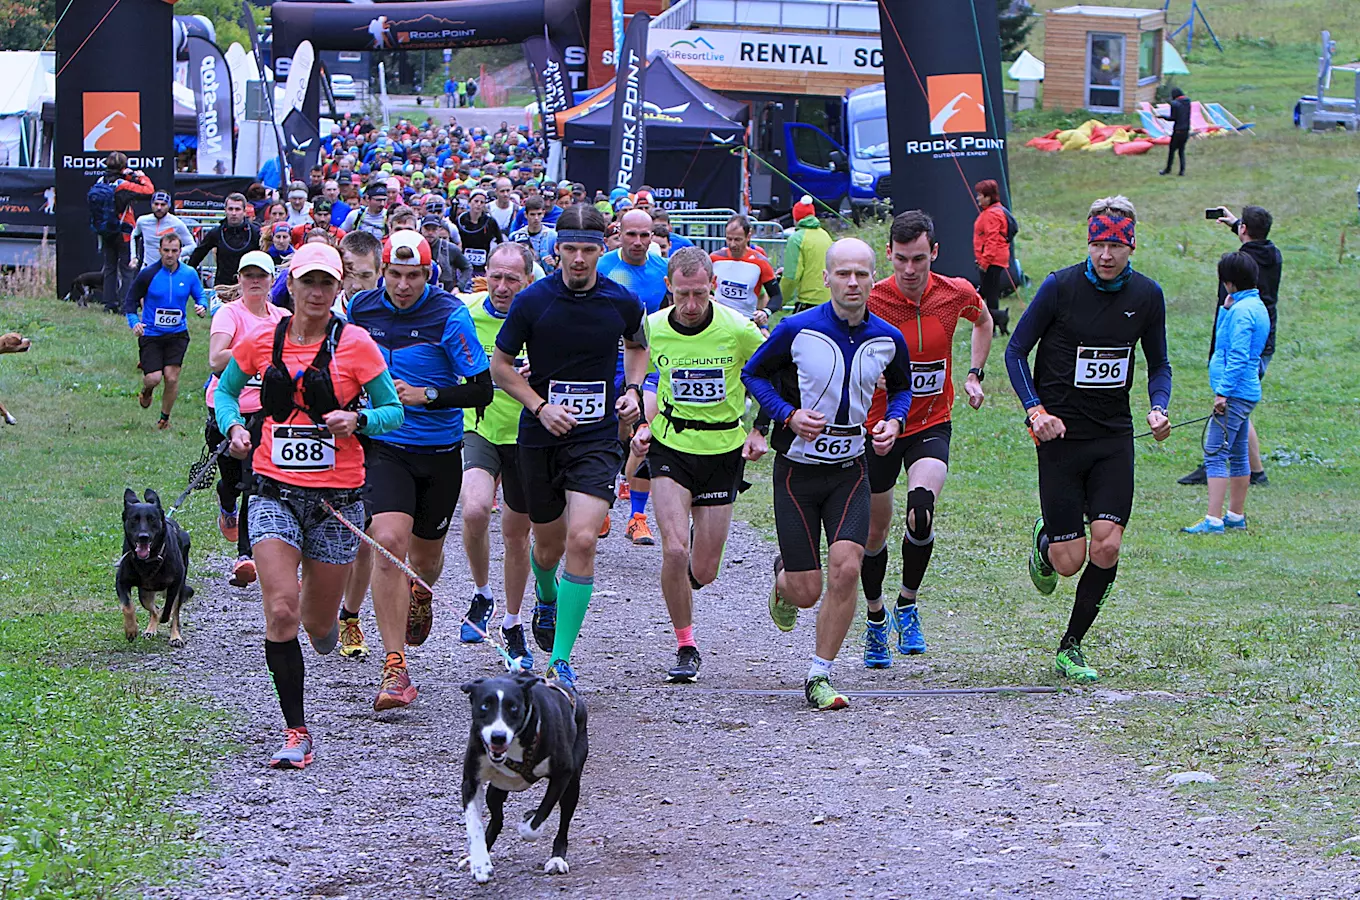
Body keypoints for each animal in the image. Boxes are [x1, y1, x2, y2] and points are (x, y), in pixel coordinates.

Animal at [117, 494, 194, 649]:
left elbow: (170, 608)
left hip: (180, 586)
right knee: (154, 609)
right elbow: (127, 606)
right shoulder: (121, 582)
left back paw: (175, 636)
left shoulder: (175, 584)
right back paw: (150, 629)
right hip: (144, 594)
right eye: (134, 519)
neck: (149, 560)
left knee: (173, 612)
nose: (143, 536)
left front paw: (168, 620)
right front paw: (131, 629)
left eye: (152, 519)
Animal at [459, 674, 587, 886]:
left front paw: (528, 823)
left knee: (563, 824)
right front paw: (480, 864)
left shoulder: (562, 775)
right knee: (497, 819)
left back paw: (557, 859)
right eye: (484, 706)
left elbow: (538, 819)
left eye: (513, 707)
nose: (498, 737)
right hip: (496, 790)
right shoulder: (471, 781)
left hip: (572, 785)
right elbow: (474, 825)